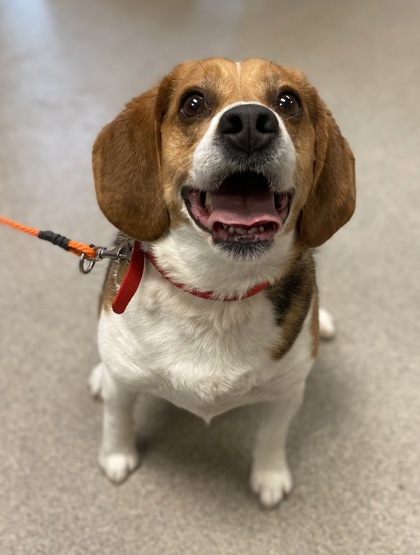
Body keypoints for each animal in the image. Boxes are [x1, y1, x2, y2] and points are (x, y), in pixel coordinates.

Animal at [89, 57, 354, 508]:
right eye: (192, 103)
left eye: (288, 102)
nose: (249, 122)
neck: (217, 293)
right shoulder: (124, 380)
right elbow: (116, 418)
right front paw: (117, 457)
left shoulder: (287, 392)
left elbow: (271, 435)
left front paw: (269, 476)